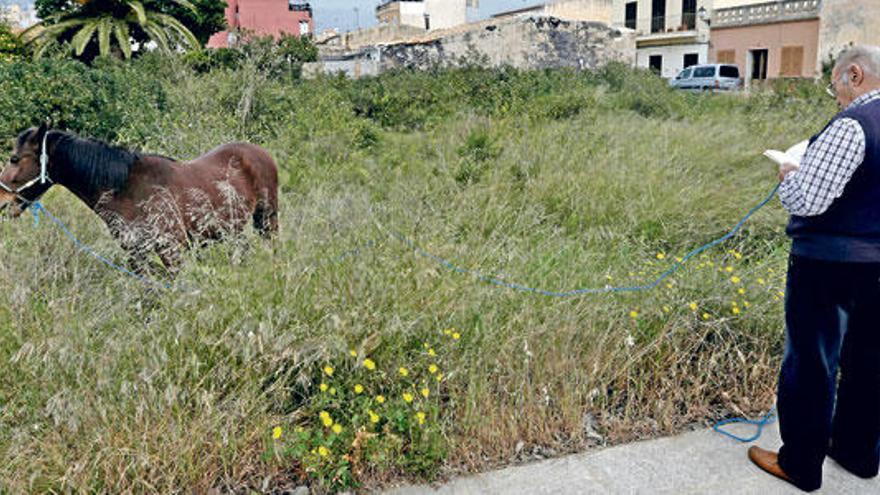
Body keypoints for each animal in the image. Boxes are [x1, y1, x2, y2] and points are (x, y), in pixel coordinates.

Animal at [0, 123, 278, 272]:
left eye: (14, 158)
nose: (3, 202)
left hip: (268, 220)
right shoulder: (136, 255)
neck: (127, 189)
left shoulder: (171, 250)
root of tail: (259, 152)